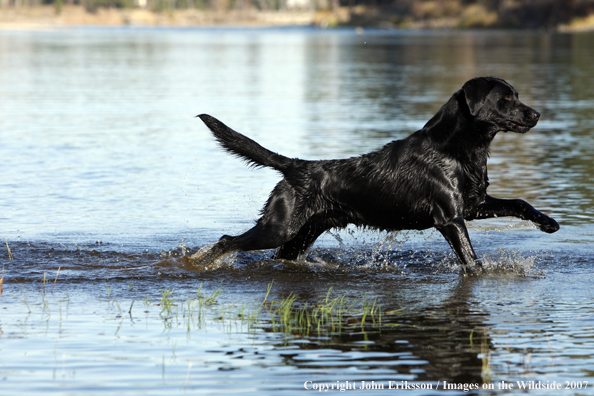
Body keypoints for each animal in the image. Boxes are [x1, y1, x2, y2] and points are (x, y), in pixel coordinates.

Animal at [197, 76, 556, 272]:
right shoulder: (450, 218)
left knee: (278, 255)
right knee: (227, 240)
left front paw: (548, 222)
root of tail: (296, 165)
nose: (537, 114)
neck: (458, 149)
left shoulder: (472, 205)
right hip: (280, 227)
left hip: (303, 232)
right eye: (505, 98)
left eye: (517, 95)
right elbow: (471, 260)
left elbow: (519, 202)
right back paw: (202, 262)